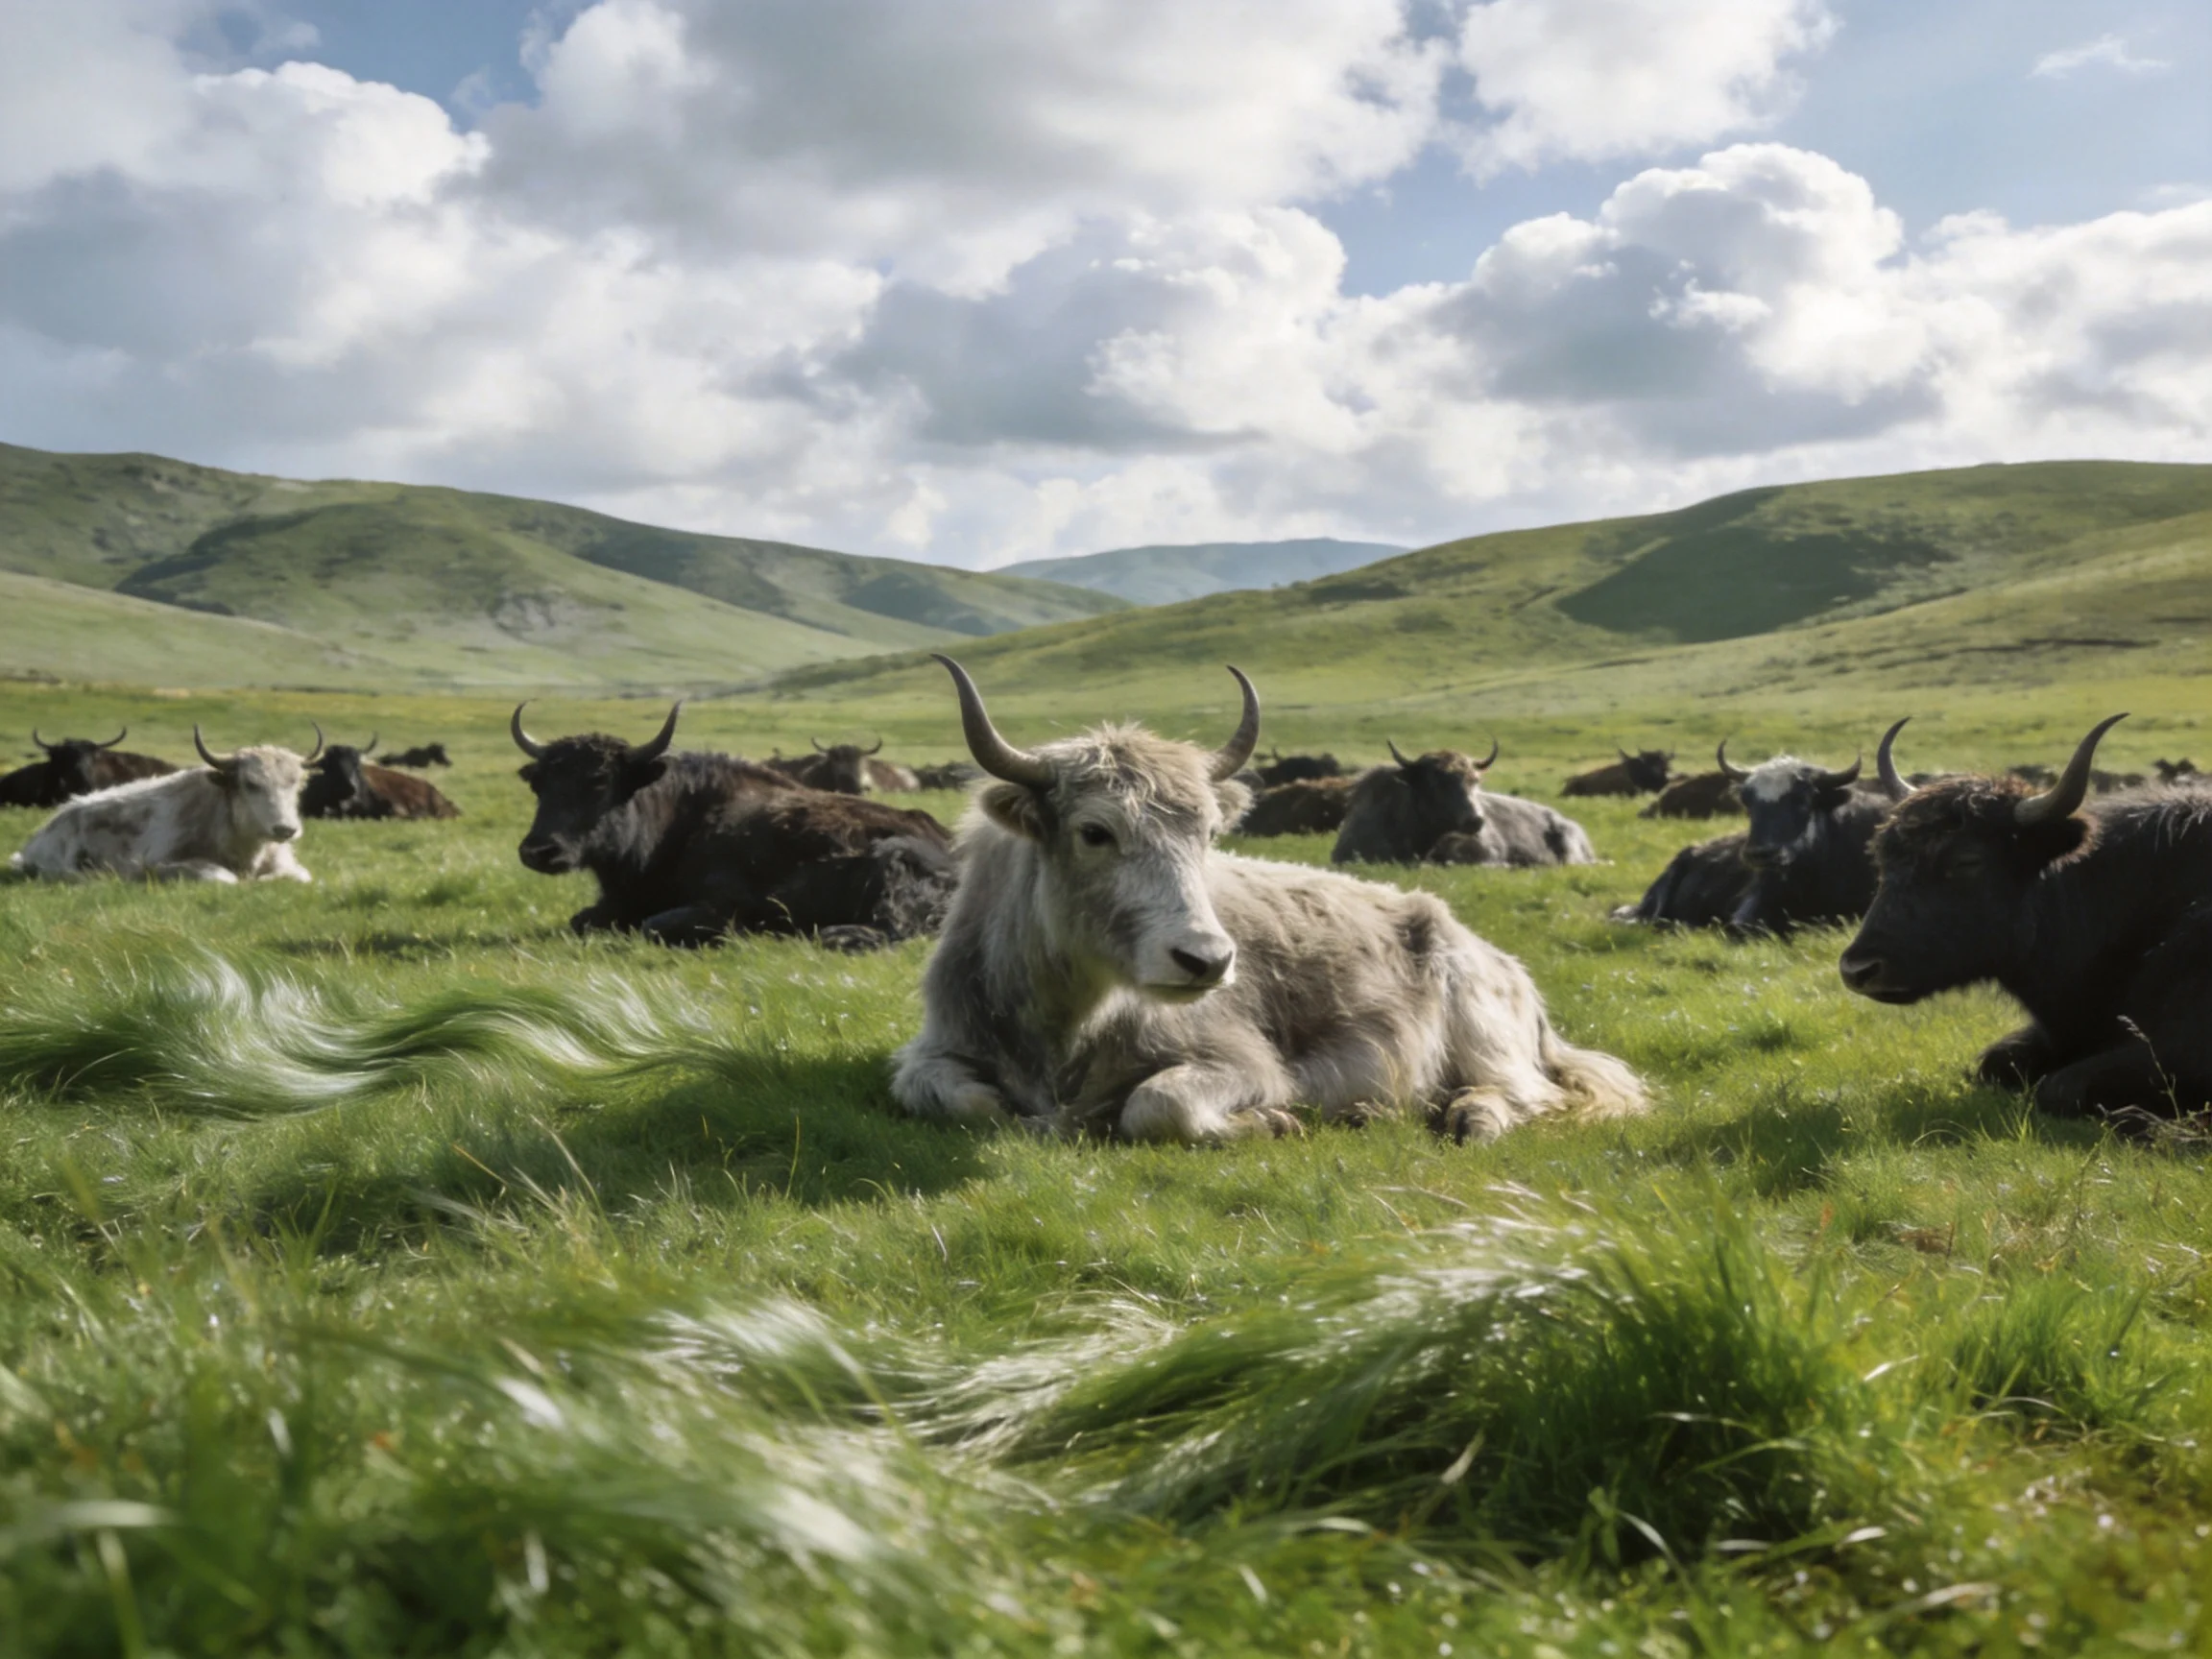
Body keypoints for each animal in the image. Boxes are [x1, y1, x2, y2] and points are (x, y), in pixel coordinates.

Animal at [510, 703, 955, 948]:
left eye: (600, 781)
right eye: (538, 783)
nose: (538, 851)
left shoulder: (722, 902)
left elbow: (652, 926)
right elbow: (581, 920)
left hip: (893, 863)